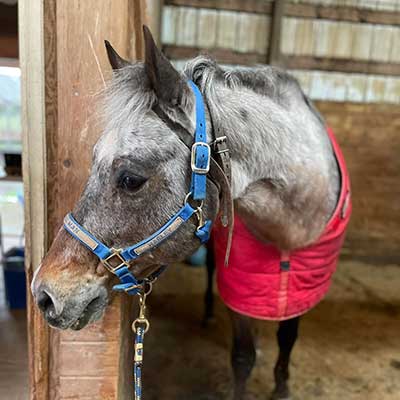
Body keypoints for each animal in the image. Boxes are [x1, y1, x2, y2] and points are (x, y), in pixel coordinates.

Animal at [31, 26, 350, 398]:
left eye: (131, 179)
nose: (44, 295)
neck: (287, 223)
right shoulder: (241, 284)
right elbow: (243, 355)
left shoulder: (304, 283)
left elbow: (287, 337)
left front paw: (282, 386)